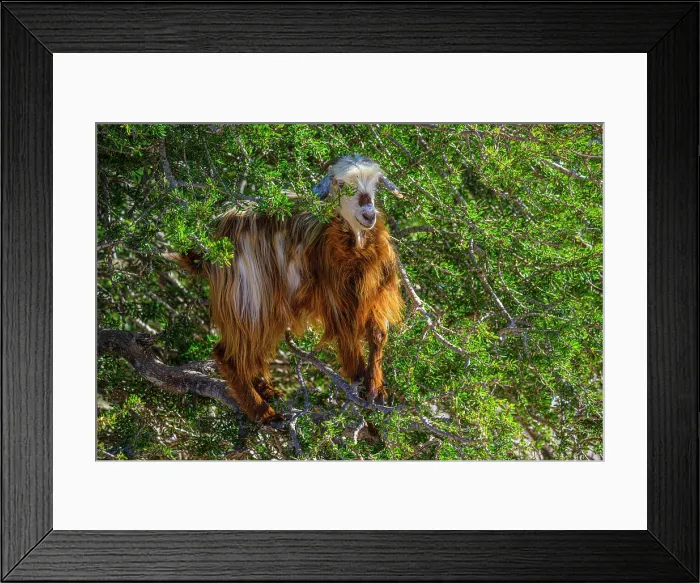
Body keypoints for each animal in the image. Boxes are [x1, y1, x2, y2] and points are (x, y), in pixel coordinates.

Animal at [171, 154, 404, 424]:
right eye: (341, 185)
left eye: (376, 185)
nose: (368, 215)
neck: (355, 245)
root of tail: (213, 242)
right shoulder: (335, 296)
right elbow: (347, 336)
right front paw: (360, 381)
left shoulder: (374, 293)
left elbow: (377, 334)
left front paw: (376, 388)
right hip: (250, 297)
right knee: (227, 355)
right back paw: (264, 413)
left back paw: (266, 391)